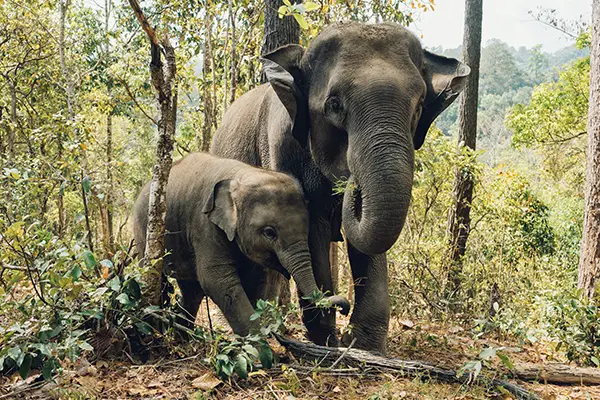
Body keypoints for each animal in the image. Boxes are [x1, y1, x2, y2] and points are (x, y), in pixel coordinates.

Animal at [131, 153, 346, 338]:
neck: (241, 175)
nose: (344, 307)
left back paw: (182, 337)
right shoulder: (205, 225)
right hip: (144, 230)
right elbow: (216, 280)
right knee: (157, 277)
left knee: (192, 290)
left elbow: (257, 280)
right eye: (269, 232)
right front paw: (260, 349)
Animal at [211, 22, 468, 354]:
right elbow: (313, 228)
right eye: (334, 105)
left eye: (419, 106)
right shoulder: (283, 148)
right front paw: (328, 339)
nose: (351, 183)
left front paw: (364, 346)